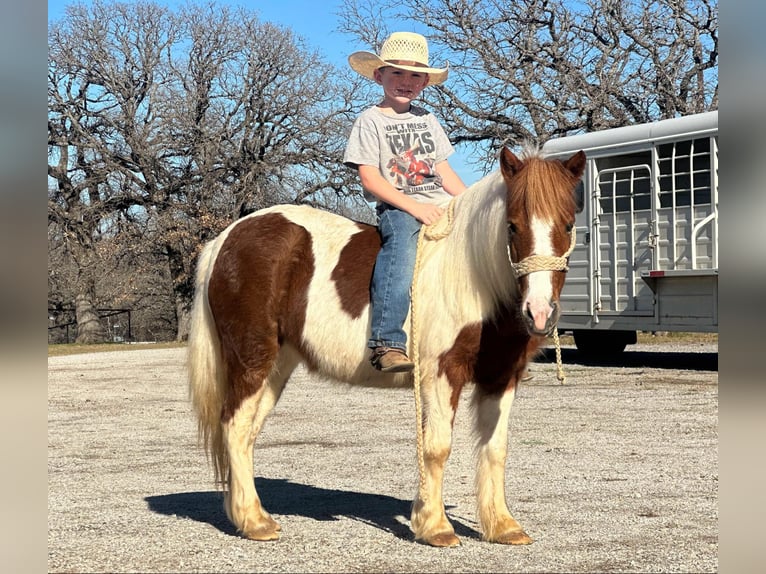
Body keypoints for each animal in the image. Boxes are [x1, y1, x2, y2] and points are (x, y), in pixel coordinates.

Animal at [187, 146, 586, 547]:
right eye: (513, 226)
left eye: (568, 225)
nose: (539, 312)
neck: (473, 275)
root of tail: (225, 239)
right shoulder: (442, 371)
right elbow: (437, 447)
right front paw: (435, 527)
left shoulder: (501, 376)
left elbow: (495, 448)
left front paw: (503, 526)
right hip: (252, 357)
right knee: (235, 425)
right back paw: (255, 522)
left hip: (277, 365)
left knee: (246, 434)